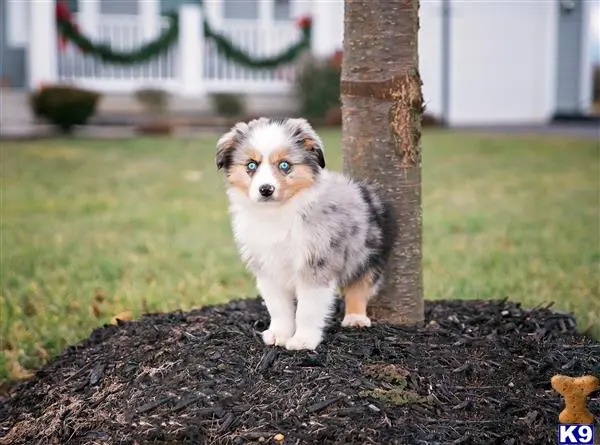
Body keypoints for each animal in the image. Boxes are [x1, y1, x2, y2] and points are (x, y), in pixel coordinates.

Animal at [217, 118, 398, 350]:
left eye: (285, 165)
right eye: (251, 165)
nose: (265, 189)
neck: (277, 213)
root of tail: (365, 190)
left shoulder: (316, 262)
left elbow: (308, 309)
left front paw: (302, 341)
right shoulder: (267, 267)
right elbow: (278, 306)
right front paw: (279, 334)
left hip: (369, 250)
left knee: (361, 284)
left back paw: (355, 318)